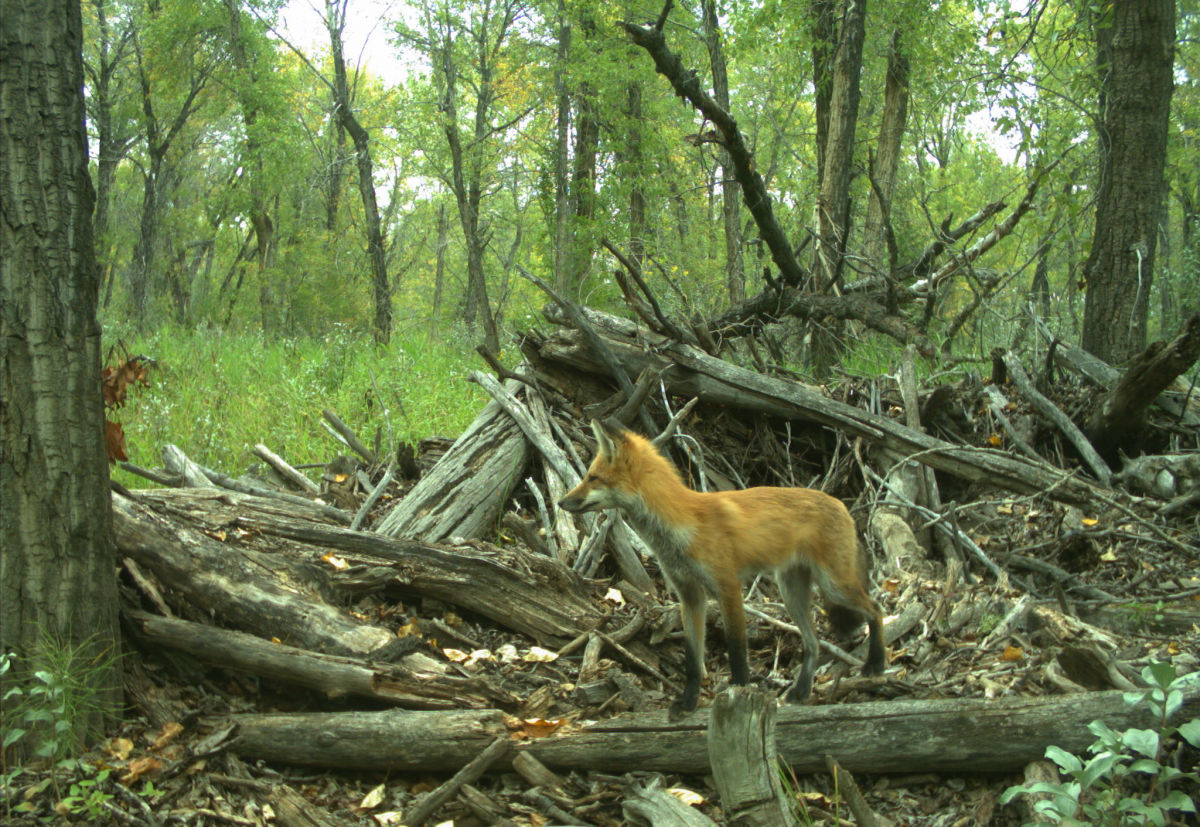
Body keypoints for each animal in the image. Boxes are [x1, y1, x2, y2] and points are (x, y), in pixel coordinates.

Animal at [558, 418, 886, 720]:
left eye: (592, 478)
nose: (561, 502)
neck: (681, 527)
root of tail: (840, 503)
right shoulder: (690, 595)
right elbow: (693, 659)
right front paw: (689, 702)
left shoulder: (728, 586)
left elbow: (737, 650)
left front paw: (739, 690)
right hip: (791, 592)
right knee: (814, 642)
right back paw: (803, 690)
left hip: (835, 585)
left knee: (876, 609)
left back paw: (875, 664)